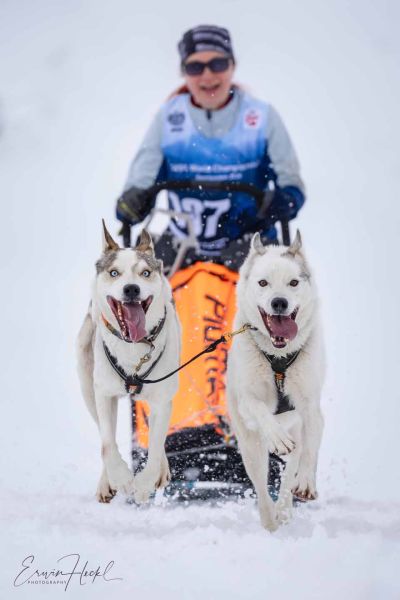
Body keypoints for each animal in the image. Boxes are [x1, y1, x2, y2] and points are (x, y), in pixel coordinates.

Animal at [76, 222, 180, 503]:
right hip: (87, 384)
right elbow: (107, 444)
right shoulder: (104, 394)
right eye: (114, 272)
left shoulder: (162, 399)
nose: (131, 288)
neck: (134, 348)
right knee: (103, 430)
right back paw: (106, 481)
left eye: (145, 273)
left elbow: (155, 445)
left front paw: (144, 483)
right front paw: (121, 478)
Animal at [227, 231, 325, 530]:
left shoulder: (310, 407)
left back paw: (284, 507)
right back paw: (270, 518)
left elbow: (310, 450)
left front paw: (306, 482)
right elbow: (260, 409)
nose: (279, 302)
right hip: (250, 448)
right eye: (263, 283)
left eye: (293, 282)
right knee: (260, 484)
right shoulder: (248, 402)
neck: (279, 356)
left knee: (292, 466)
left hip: (297, 430)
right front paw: (277, 438)